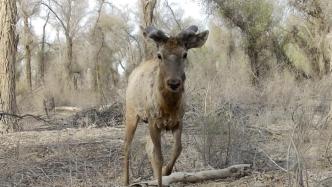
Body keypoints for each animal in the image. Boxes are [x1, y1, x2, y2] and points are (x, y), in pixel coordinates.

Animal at [123, 24, 209, 186]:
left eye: (185, 54)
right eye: (160, 55)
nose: (173, 83)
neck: (168, 106)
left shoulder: (178, 121)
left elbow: (177, 149)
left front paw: (165, 171)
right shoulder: (153, 122)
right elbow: (158, 157)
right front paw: (160, 177)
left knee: (148, 146)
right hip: (131, 113)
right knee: (127, 145)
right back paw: (126, 181)